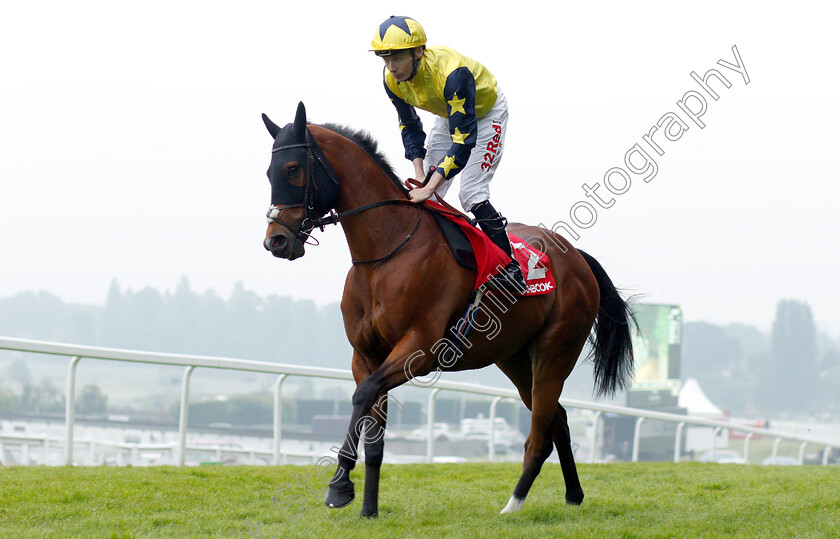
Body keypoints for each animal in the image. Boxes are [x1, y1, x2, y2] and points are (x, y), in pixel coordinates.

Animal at [260, 102, 632, 520]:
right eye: (270, 171)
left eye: (293, 169)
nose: (276, 240)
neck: (385, 253)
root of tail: (577, 257)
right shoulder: (366, 355)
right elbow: (374, 432)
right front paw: (368, 508)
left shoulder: (419, 350)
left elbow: (362, 396)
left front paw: (339, 485)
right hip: (515, 357)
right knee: (560, 419)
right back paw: (573, 494)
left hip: (556, 351)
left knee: (539, 435)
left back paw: (513, 504)